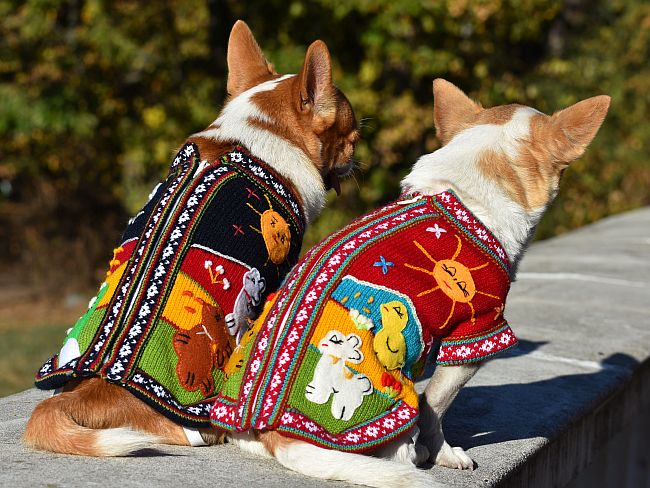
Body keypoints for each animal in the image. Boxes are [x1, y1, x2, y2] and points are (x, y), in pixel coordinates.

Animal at [207, 79, 610, 487]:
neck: (461, 189)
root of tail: (280, 439)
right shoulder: (477, 331)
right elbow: (435, 405)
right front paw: (445, 452)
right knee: (402, 443)